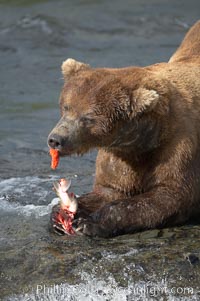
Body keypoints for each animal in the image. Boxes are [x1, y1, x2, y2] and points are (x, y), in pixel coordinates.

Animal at [47, 21, 200, 237]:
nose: (56, 139)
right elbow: (109, 189)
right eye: (66, 107)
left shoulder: (179, 146)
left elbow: (171, 194)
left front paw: (89, 222)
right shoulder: (119, 155)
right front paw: (59, 215)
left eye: (88, 118)